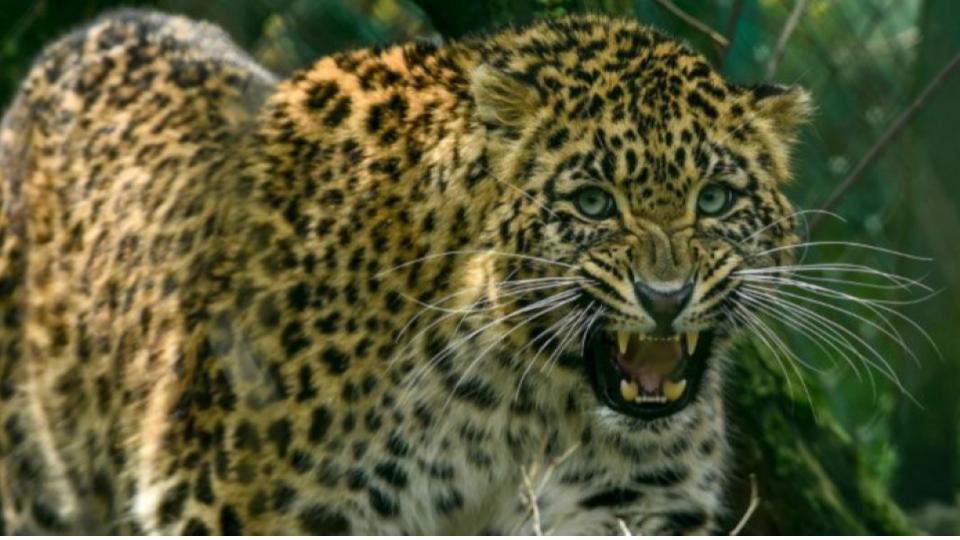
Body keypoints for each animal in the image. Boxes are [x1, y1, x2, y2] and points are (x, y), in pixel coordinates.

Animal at [0, 8, 810, 535]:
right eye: (592, 202)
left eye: (715, 198)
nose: (665, 298)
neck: (527, 404)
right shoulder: (234, 502)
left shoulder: (628, 504)